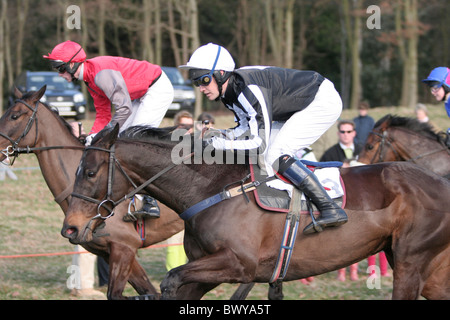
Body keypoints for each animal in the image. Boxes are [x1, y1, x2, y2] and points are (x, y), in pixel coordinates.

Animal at [61, 124, 450, 298]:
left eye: (90, 172)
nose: (71, 228)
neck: (212, 189)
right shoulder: (204, 271)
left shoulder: (239, 264)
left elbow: (171, 279)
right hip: (428, 268)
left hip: (410, 261)